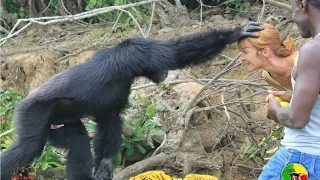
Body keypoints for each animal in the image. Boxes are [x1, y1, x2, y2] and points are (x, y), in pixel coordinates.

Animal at [0, 21, 262, 179]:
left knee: (78, 143)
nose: (163, 73)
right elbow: (176, 52)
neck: (133, 71)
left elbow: (109, 121)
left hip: (60, 124)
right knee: (29, 146)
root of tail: (23, 100)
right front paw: (234, 33)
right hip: (34, 111)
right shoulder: (140, 51)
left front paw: (105, 168)